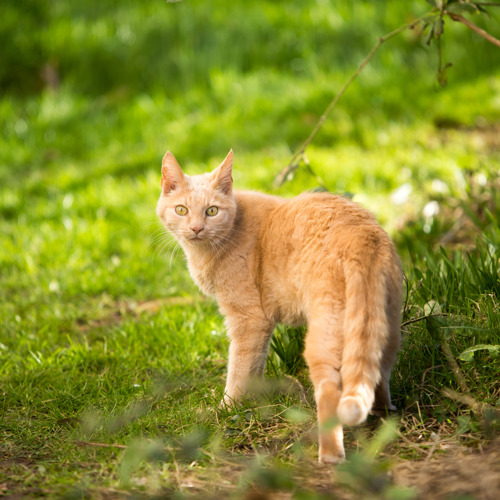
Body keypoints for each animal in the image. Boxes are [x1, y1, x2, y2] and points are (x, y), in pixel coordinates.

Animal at [156, 149, 402, 464]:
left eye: (211, 211)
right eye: (181, 210)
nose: (196, 228)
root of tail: (362, 236)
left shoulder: (249, 321)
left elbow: (239, 369)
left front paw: (226, 410)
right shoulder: (259, 328)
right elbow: (255, 366)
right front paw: (256, 401)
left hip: (325, 338)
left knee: (330, 392)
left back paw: (331, 455)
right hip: (386, 327)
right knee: (378, 374)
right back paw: (383, 417)